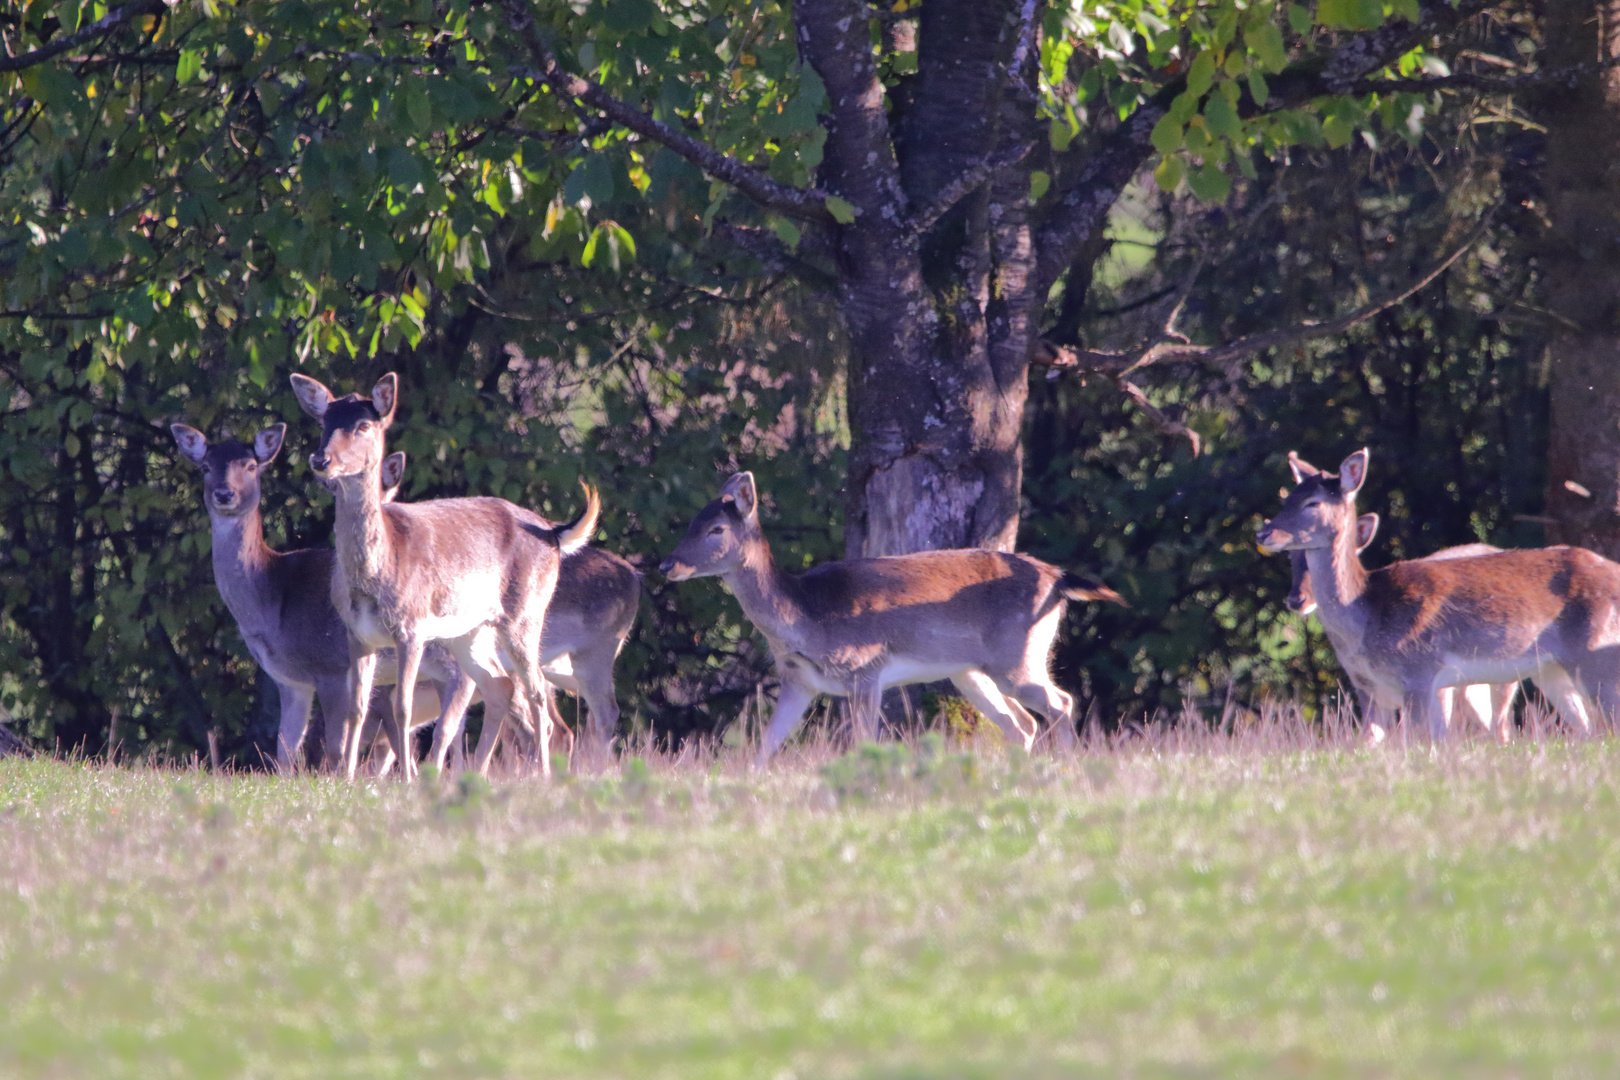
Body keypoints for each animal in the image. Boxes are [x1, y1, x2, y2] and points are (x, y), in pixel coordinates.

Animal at [174, 420, 473, 767]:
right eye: (206, 467)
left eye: (250, 466)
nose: (224, 494)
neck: (272, 605)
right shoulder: (290, 681)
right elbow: (285, 750)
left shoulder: (331, 666)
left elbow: (336, 747)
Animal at [288, 372, 599, 777]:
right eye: (324, 422)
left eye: (363, 426)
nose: (320, 459)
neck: (376, 573)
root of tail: (553, 533)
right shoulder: (357, 634)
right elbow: (356, 709)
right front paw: (347, 778)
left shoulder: (412, 626)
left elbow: (402, 708)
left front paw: (407, 778)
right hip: (470, 631)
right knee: (499, 685)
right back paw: (478, 772)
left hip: (526, 612)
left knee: (536, 696)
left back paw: (543, 775)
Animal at [657, 469, 1127, 761]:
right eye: (690, 523)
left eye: (717, 529)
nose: (666, 565)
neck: (808, 618)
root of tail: (1057, 579)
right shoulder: (798, 682)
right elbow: (763, 747)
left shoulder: (865, 669)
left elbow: (863, 742)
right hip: (972, 671)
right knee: (1022, 724)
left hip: (1018, 656)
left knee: (1061, 703)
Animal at [1257, 450, 1620, 744]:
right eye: (1286, 499)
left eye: (1313, 502)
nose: (1263, 532)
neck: (1368, 613)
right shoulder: (1370, 689)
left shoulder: (1420, 670)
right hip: (1553, 669)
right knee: (1585, 727)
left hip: (1594, 654)